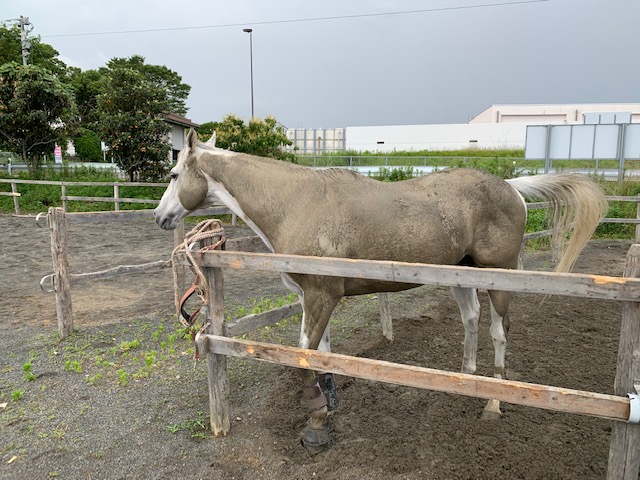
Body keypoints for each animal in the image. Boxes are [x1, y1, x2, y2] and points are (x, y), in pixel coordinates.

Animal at [155, 127, 604, 450]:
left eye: (175, 175)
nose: (160, 216)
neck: (296, 203)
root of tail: (512, 187)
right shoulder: (311, 298)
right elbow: (322, 356)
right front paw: (328, 409)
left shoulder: (322, 297)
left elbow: (304, 357)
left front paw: (316, 426)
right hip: (462, 275)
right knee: (470, 320)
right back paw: (464, 380)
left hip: (499, 276)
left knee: (498, 331)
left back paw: (493, 402)